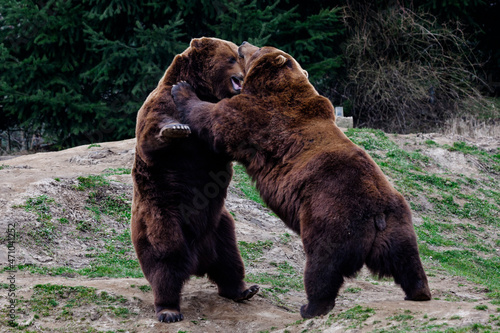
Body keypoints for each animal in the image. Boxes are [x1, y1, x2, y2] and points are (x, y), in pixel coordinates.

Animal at [131, 37, 258, 322]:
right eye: (232, 57)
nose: (243, 75)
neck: (205, 89)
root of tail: (199, 260)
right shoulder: (161, 102)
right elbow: (152, 133)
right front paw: (175, 128)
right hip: (163, 214)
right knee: (166, 259)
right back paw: (168, 309)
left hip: (219, 224)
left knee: (229, 256)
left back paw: (243, 289)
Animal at [171, 42, 430, 320]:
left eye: (258, 48)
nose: (242, 44)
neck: (278, 87)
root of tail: (377, 214)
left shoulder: (259, 115)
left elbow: (217, 121)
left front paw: (182, 89)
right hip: (397, 223)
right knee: (406, 258)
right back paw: (419, 292)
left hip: (331, 216)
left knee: (322, 265)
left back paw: (311, 307)